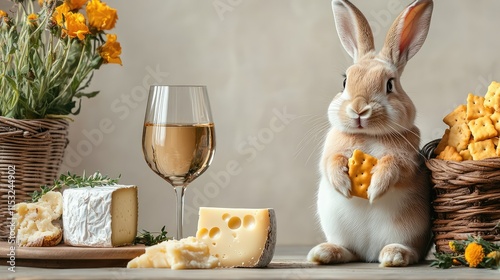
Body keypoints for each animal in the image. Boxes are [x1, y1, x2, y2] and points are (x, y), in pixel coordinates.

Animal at [304, 0, 434, 266]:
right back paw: (324, 253)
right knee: (350, 252)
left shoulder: (406, 159)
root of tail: (369, 255)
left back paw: (395, 255)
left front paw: (374, 190)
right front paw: (344, 186)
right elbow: (330, 162)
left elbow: (394, 167)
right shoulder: (330, 151)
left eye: (390, 85)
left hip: (410, 231)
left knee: (412, 252)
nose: (358, 109)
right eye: (345, 81)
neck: (368, 135)